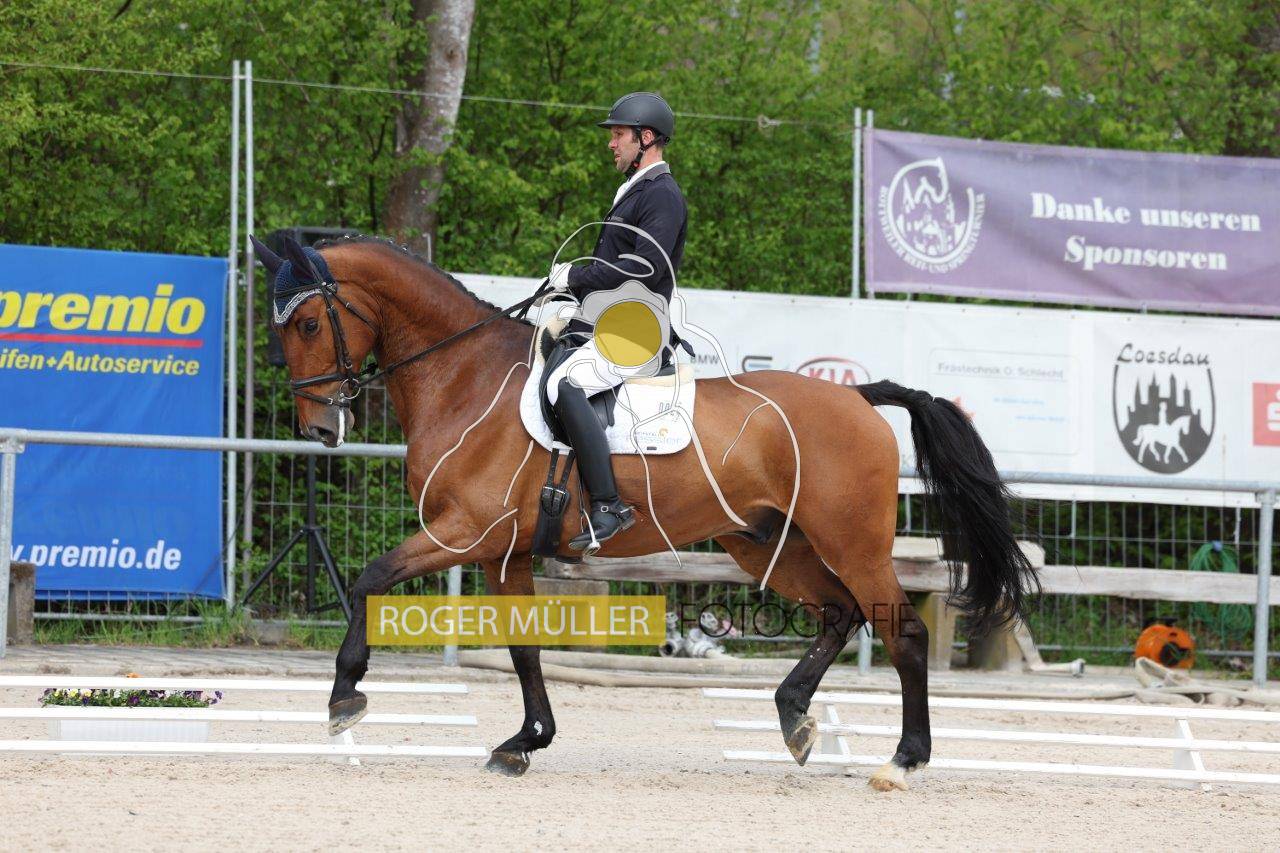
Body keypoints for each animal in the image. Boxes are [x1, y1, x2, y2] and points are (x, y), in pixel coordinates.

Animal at [254, 233, 1037, 792]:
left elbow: (368, 578)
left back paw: (902, 760)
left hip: (852, 542)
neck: (464, 375)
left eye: (310, 324)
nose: (319, 427)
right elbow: (523, 648)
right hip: (768, 543)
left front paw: (344, 698)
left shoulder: (464, 533)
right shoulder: (502, 551)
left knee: (901, 631)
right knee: (839, 614)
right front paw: (525, 741)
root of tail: (859, 396)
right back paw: (795, 719)